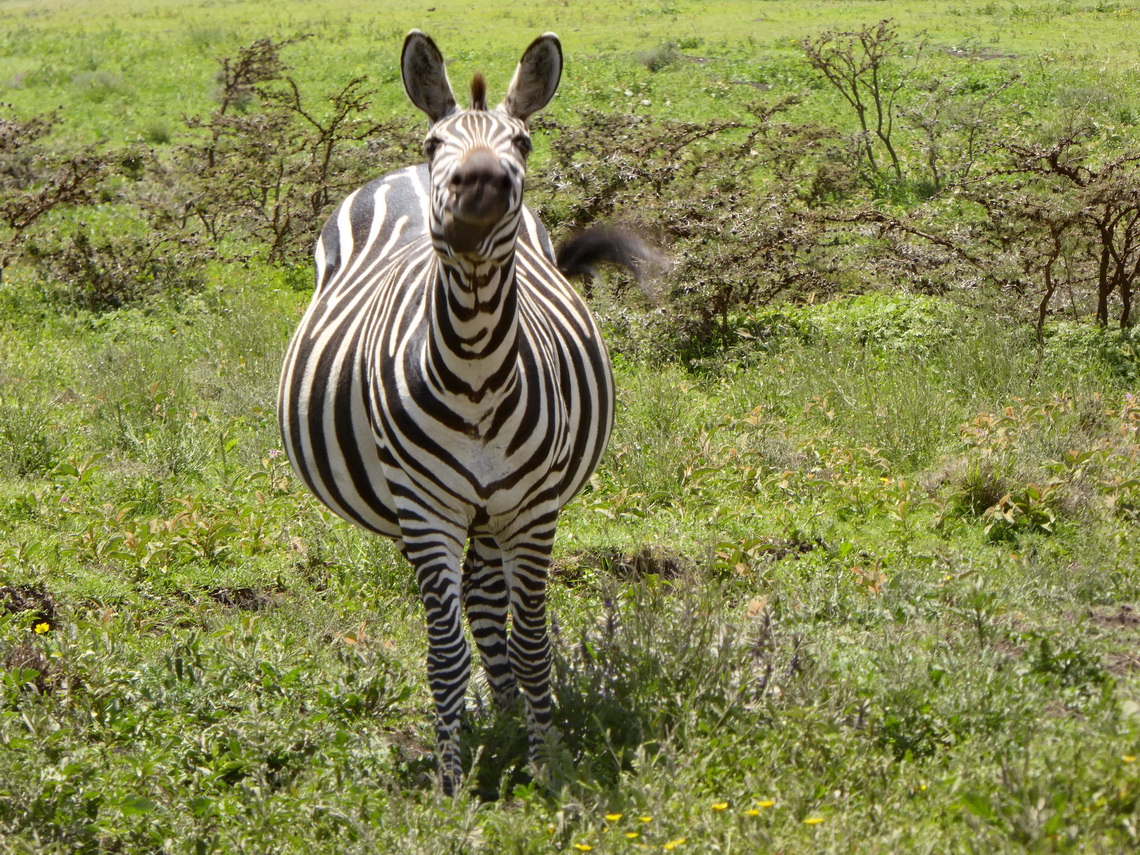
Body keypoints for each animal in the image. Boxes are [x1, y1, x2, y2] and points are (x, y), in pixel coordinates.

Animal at [280, 33, 629, 798]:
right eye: (434, 141)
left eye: (523, 142)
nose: (478, 187)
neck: (474, 370)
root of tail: (401, 178)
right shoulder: (425, 510)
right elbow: (443, 652)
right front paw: (449, 780)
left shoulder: (532, 507)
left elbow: (531, 643)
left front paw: (543, 759)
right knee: (469, 605)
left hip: (493, 511)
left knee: (488, 604)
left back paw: (504, 711)